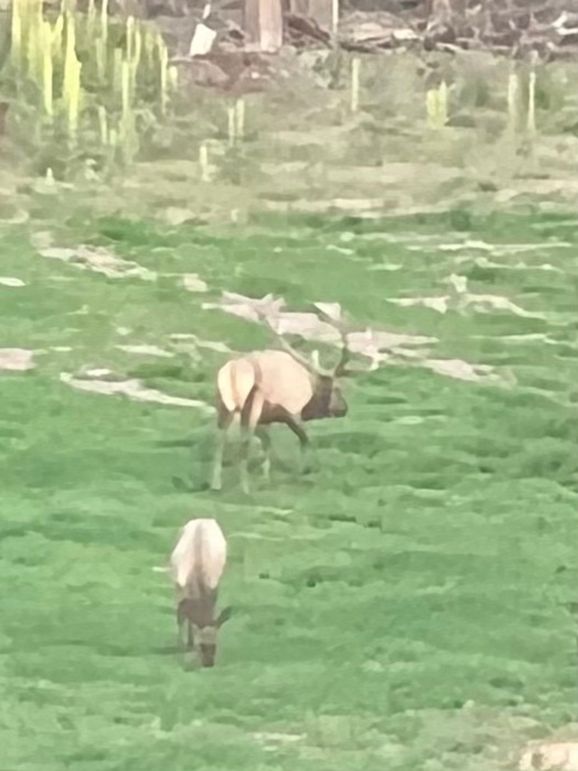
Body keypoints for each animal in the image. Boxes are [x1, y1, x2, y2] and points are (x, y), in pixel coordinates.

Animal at [169, 518, 232, 668]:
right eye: (201, 646)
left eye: (215, 645)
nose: (209, 664)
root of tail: (205, 519)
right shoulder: (178, 587)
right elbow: (181, 617)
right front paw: (183, 644)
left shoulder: (213, 588)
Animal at [210, 307, 360, 494]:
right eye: (337, 388)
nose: (344, 408)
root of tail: (233, 371)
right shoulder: (291, 412)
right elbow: (305, 440)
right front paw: (301, 472)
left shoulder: (266, 419)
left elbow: (267, 444)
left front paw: (266, 477)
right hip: (252, 404)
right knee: (244, 443)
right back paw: (245, 488)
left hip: (224, 404)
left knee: (219, 438)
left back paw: (216, 484)